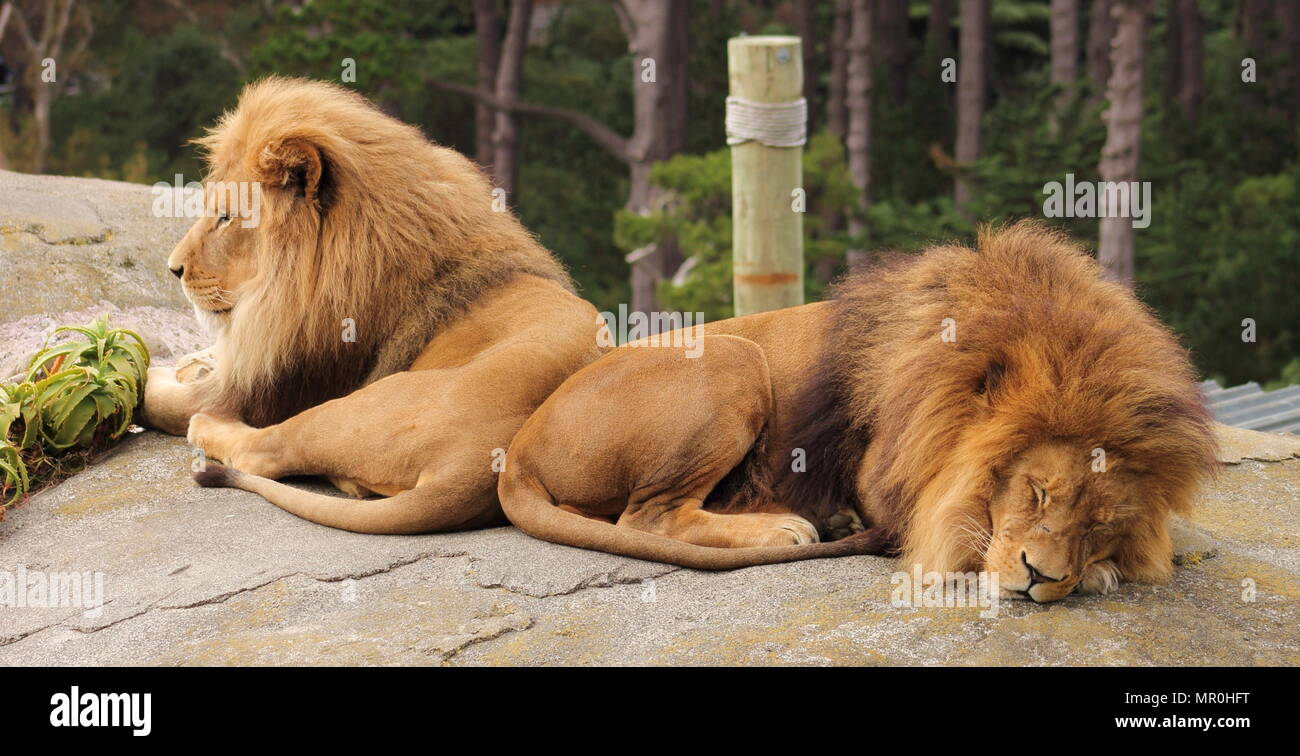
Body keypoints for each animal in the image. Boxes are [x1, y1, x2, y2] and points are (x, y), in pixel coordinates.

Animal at [142, 77, 605, 532]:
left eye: (224, 217)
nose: (173, 268)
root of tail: (482, 464)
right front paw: (193, 362)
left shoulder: (278, 381)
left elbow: (172, 403)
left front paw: (148, 377)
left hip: (351, 409)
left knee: (260, 451)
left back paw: (207, 427)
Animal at [498, 223, 1219, 601]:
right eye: (1039, 491)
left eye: (1099, 524)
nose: (1041, 578)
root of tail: (521, 447)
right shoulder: (885, 474)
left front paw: (1097, 569)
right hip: (732, 358)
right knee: (649, 517)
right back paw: (786, 527)